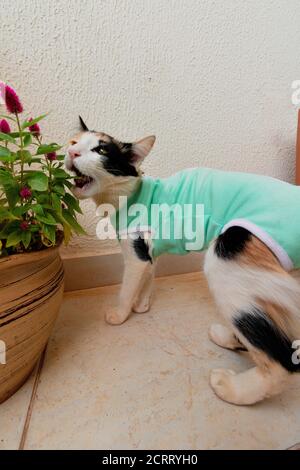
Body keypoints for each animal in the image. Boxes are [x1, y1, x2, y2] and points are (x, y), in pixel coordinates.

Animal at [65, 116, 300, 404]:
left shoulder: (135, 252)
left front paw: (121, 314)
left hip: (226, 257)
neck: (131, 195)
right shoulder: (147, 252)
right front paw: (141, 306)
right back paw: (228, 338)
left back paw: (232, 388)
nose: (72, 153)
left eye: (100, 150)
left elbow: (127, 288)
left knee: (279, 361)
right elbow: (148, 279)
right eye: (74, 142)